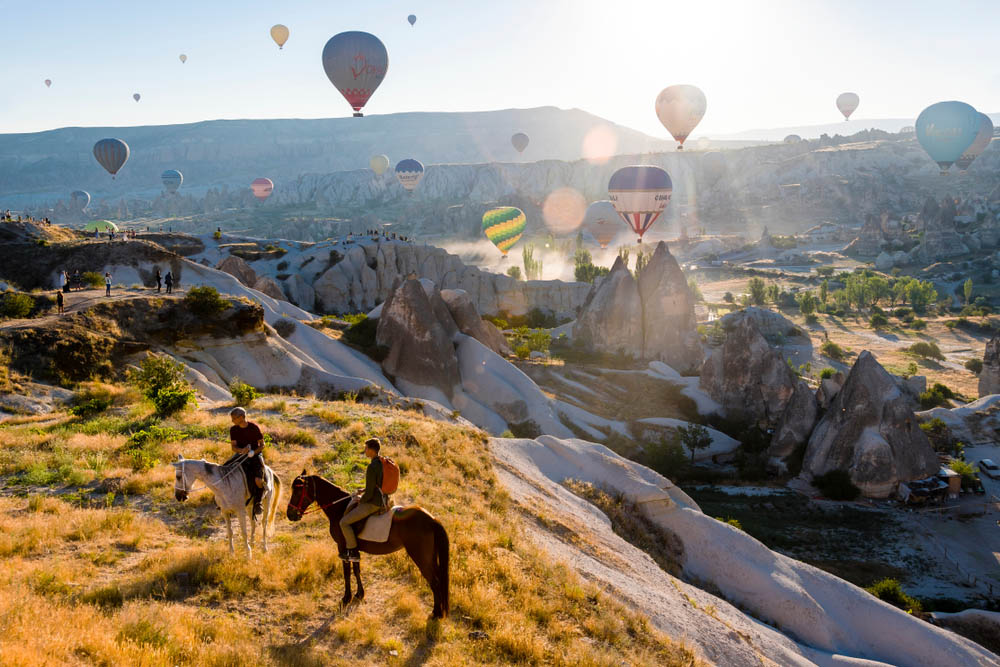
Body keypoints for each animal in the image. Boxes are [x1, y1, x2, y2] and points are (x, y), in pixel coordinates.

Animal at [286, 472, 450, 620]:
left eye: (298, 491)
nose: (290, 514)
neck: (340, 508)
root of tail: (431, 519)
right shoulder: (353, 550)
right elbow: (356, 570)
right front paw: (359, 594)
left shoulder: (343, 547)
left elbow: (347, 572)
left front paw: (346, 598)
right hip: (430, 558)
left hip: (421, 558)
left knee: (434, 582)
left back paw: (436, 614)